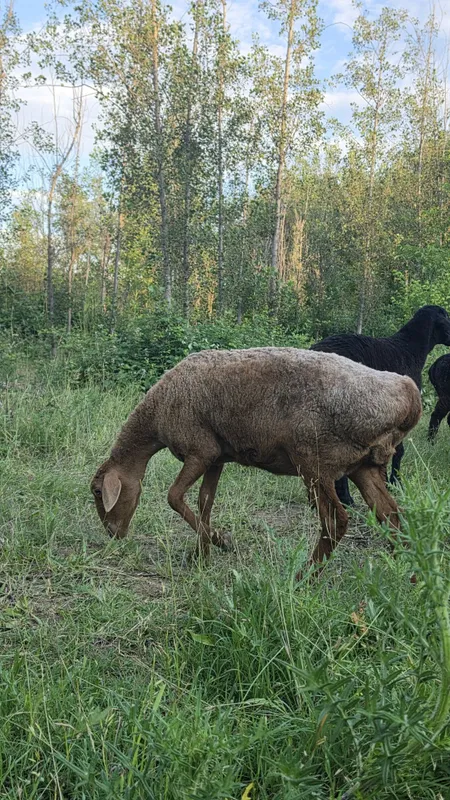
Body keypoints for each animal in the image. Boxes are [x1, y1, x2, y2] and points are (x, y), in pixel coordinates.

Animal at [91, 347, 421, 576]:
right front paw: (202, 554)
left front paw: (220, 541)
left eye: (97, 491)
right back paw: (407, 576)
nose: (113, 533)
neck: (156, 416)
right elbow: (204, 502)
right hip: (365, 467)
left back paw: (303, 577)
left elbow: (174, 497)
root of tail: (408, 395)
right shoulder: (217, 457)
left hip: (315, 462)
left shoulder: (200, 450)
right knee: (392, 517)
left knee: (335, 521)